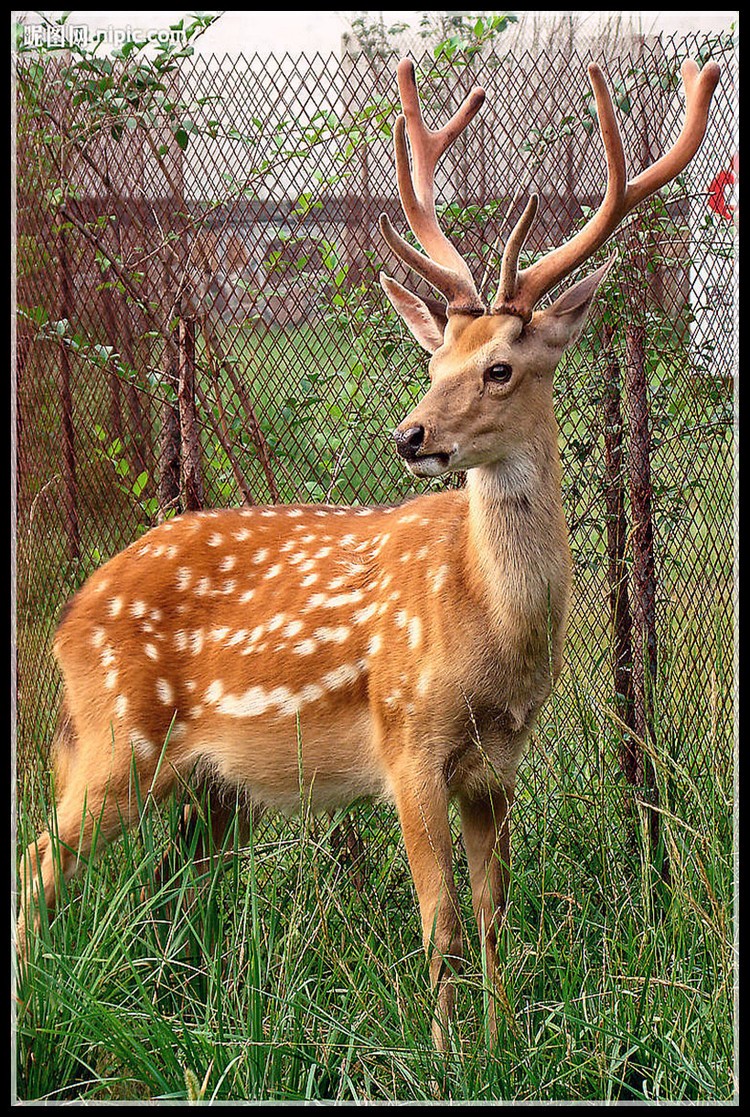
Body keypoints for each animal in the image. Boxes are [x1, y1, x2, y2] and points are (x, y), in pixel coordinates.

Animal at [19, 54, 719, 1045]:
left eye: (499, 367)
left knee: (174, 889)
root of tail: (70, 616)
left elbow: (495, 912)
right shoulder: (407, 739)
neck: (492, 632)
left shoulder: (499, 765)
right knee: (43, 859)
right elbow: (441, 924)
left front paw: (501, 1042)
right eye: (433, 363)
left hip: (211, 789)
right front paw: (449, 1055)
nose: (411, 434)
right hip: (117, 735)